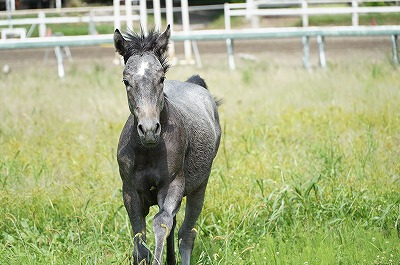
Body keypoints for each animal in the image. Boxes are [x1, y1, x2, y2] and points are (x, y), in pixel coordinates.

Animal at [114, 23, 222, 262]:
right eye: (126, 81)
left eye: (161, 78)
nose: (149, 130)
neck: (148, 152)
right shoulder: (130, 193)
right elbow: (139, 241)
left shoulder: (173, 185)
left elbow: (161, 223)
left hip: (199, 187)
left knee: (185, 233)